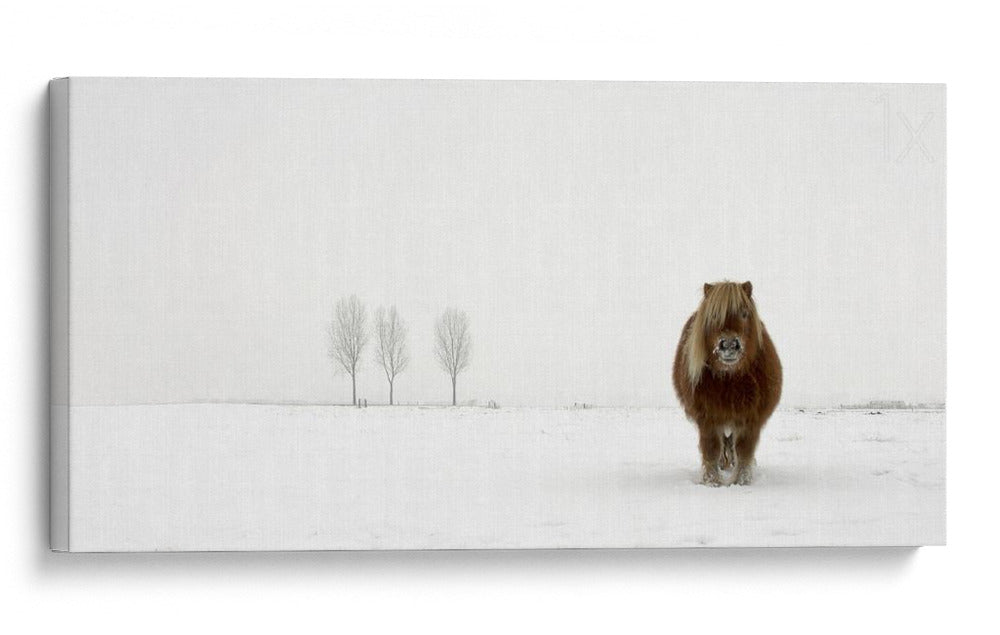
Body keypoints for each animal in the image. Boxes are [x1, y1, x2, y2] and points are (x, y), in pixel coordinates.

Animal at [672, 281, 782, 486]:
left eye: (744, 313)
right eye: (714, 315)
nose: (729, 345)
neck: (730, 380)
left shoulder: (751, 420)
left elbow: (744, 451)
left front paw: (741, 481)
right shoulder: (707, 419)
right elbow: (711, 450)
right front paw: (712, 482)